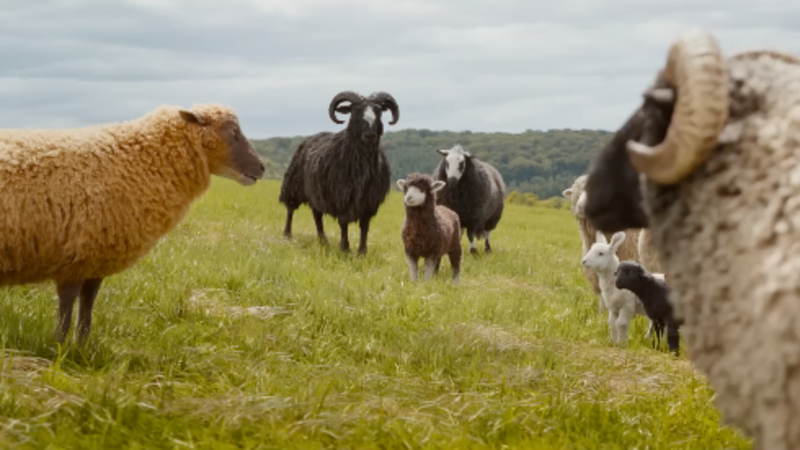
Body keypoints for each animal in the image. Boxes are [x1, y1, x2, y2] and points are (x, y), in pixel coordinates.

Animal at [0, 104, 265, 344]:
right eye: (233, 131)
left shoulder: (98, 258)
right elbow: (67, 305)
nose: (262, 168)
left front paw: (82, 346)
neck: (137, 161)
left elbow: (88, 303)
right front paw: (59, 347)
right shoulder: (76, 255)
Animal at [279, 90, 399, 255]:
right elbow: (343, 223)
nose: (370, 135)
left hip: (315, 192)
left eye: (379, 111)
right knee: (290, 209)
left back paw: (323, 241)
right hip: (294, 184)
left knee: (317, 215)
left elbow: (364, 226)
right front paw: (345, 249)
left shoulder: (369, 201)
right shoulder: (341, 197)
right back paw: (287, 235)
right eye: (355, 111)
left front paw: (362, 252)